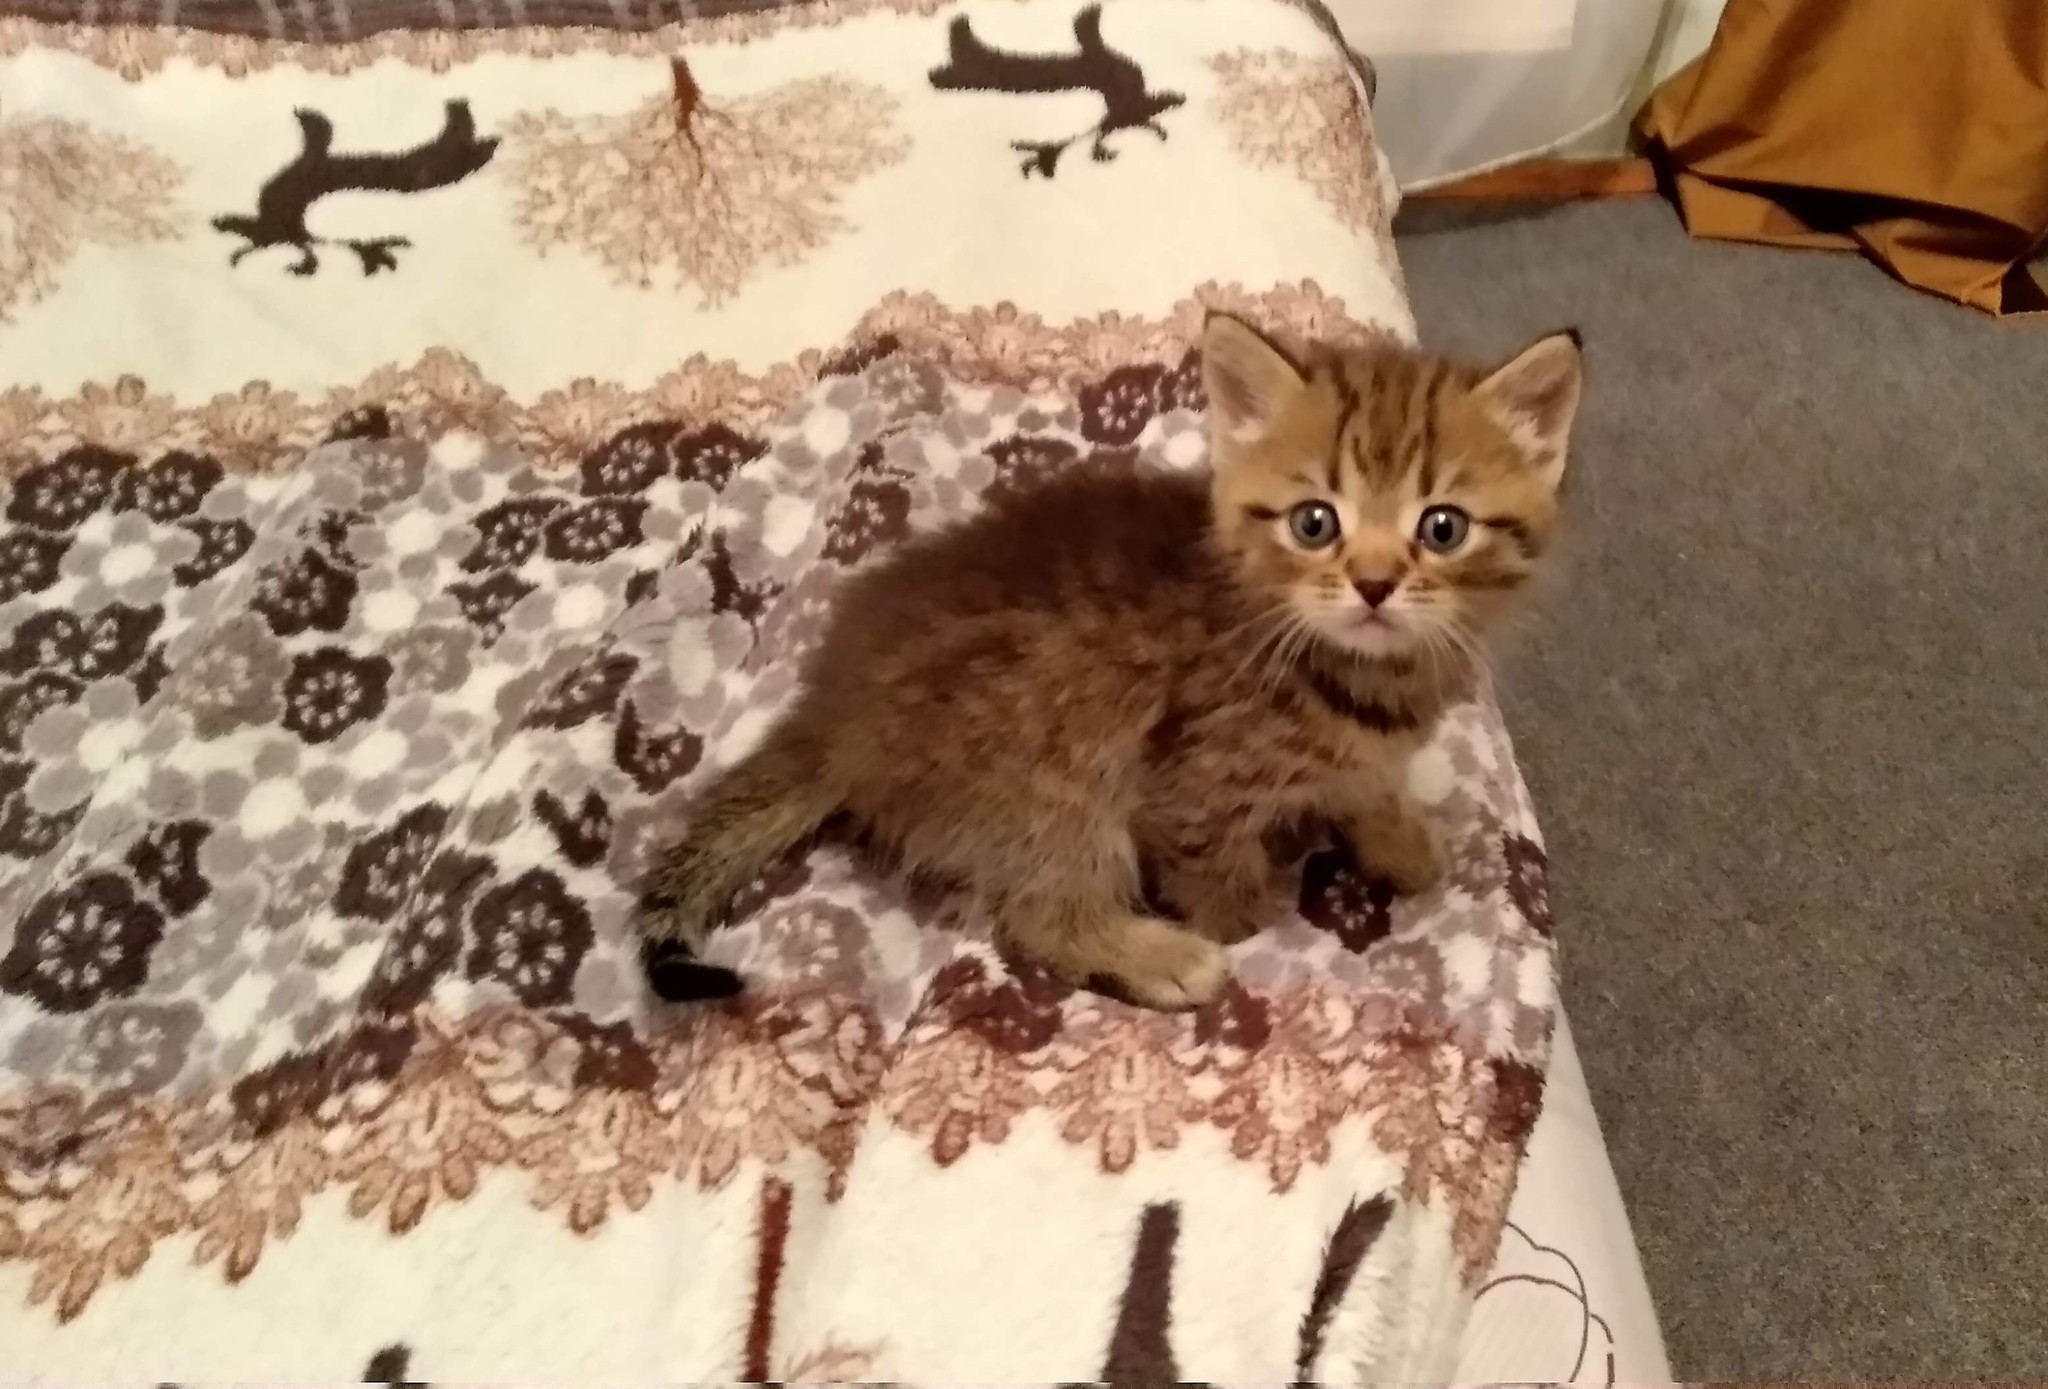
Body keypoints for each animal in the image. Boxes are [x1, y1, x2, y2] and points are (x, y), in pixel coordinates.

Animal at [638, 315, 1581, 1012]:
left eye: (1442, 527)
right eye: (1315, 522)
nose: (1376, 584)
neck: (1362, 674)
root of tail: (835, 713)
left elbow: (1366, 782)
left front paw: (1394, 835)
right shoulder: (1186, 787)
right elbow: (1216, 869)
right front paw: (1251, 918)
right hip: (1056, 771)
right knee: (1032, 913)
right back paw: (1157, 955)